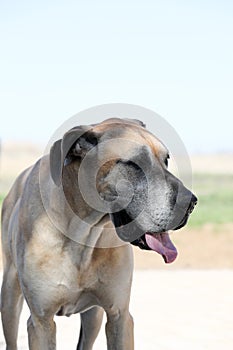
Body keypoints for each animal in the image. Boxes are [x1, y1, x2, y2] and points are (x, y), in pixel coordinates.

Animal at [0, 119, 197, 348]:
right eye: (136, 163)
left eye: (165, 160)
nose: (191, 203)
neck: (82, 233)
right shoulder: (42, 322)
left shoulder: (120, 316)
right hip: (9, 298)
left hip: (94, 317)